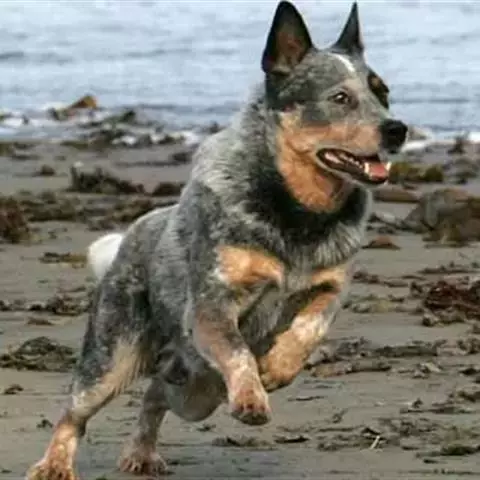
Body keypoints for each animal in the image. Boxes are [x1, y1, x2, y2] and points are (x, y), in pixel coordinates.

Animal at [27, 2, 407, 478]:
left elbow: (310, 327)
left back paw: (141, 453)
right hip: (115, 353)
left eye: (383, 92)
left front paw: (277, 368)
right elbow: (239, 350)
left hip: (195, 391)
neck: (298, 214)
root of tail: (132, 236)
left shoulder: (330, 286)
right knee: (76, 408)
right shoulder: (212, 303)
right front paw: (250, 397)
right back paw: (54, 463)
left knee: (156, 394)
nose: (397, 129)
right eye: (340, 98)